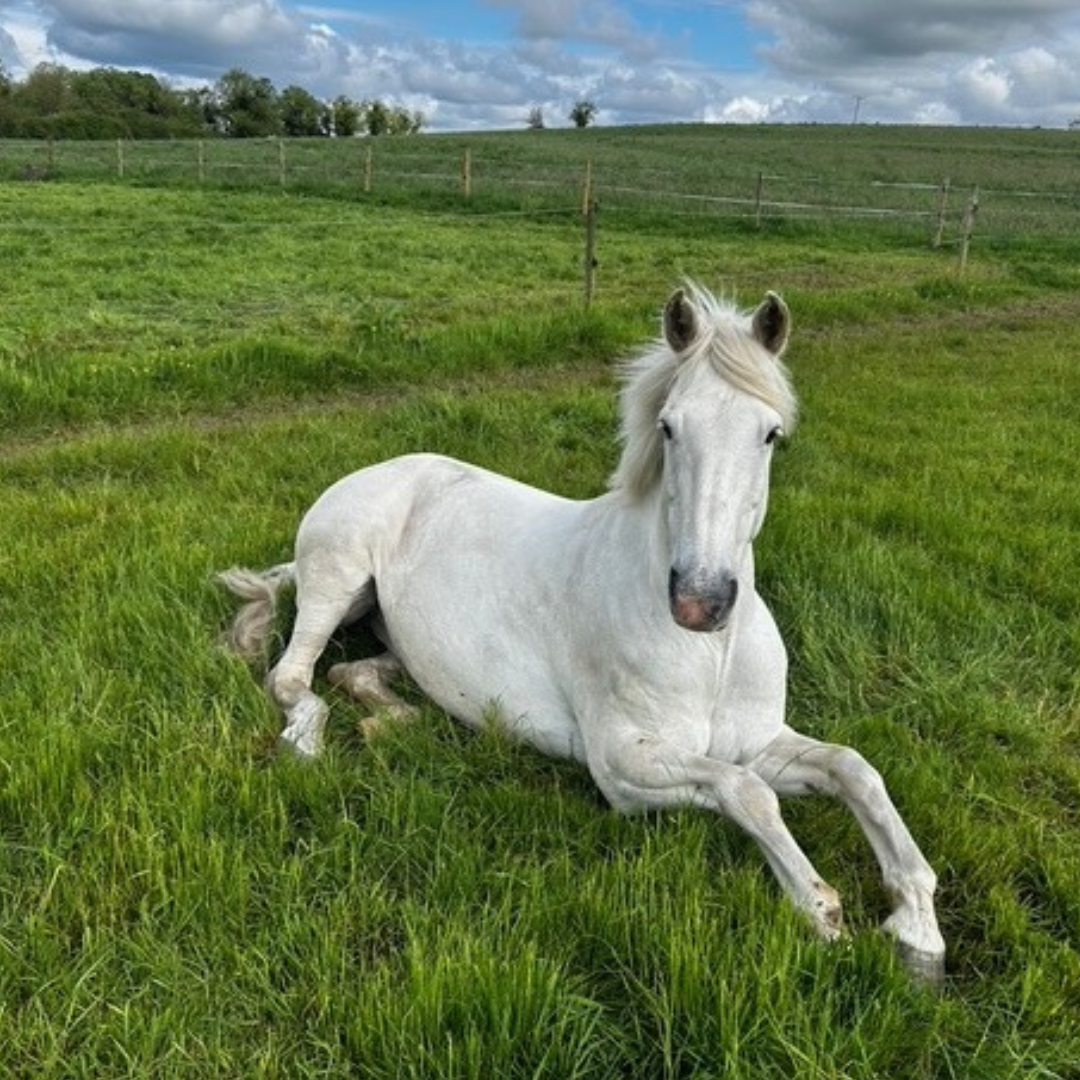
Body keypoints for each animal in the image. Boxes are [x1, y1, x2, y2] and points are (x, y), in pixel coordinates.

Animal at [218, 283, 945, 983]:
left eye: (770, 434)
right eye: (669, 427)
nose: (701, 602)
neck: (710, 653)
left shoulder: (758, 742)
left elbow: (853, 770)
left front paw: (918, 930)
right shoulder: (623, 765)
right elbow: (748, 792)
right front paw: (823, 910)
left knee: (356, 670)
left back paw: (394, 721)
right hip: (335, 583)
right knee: (292, 676)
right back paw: (307, 743)